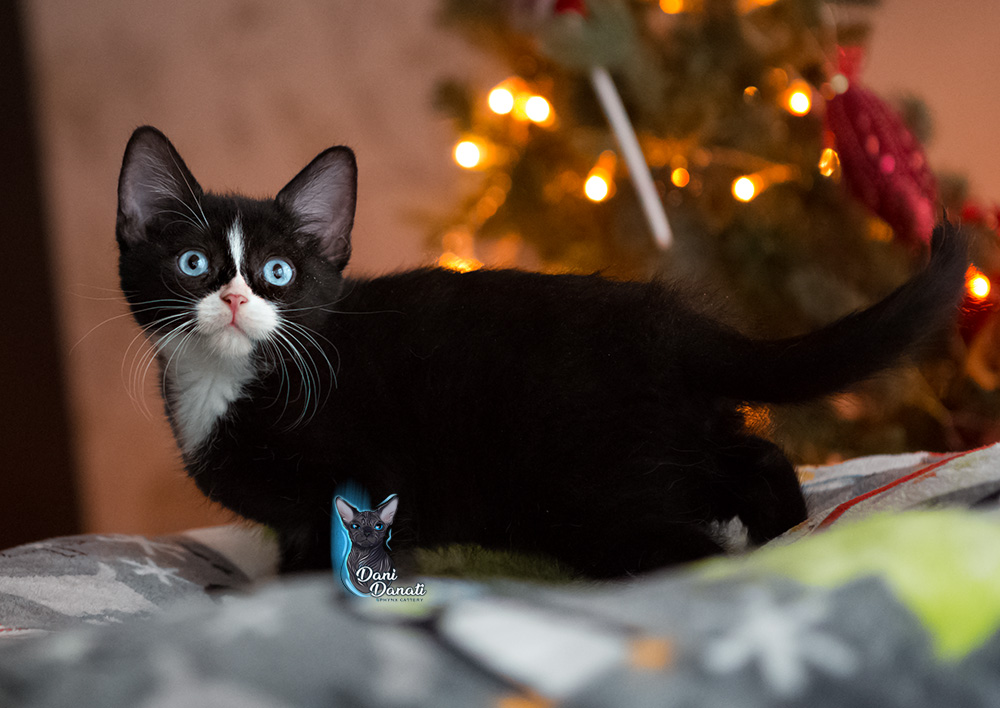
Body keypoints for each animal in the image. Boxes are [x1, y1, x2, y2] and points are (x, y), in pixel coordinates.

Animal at [115, 126, 968, 577]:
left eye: (278, 273)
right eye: (192, 261)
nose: (234, 298)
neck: (228, 382)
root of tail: (671, 325)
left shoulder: (361, 474)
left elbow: (325, 552)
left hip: (587, 487)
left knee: (686, 550)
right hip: (675, 439)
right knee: (756, 456)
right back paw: (784, 534)